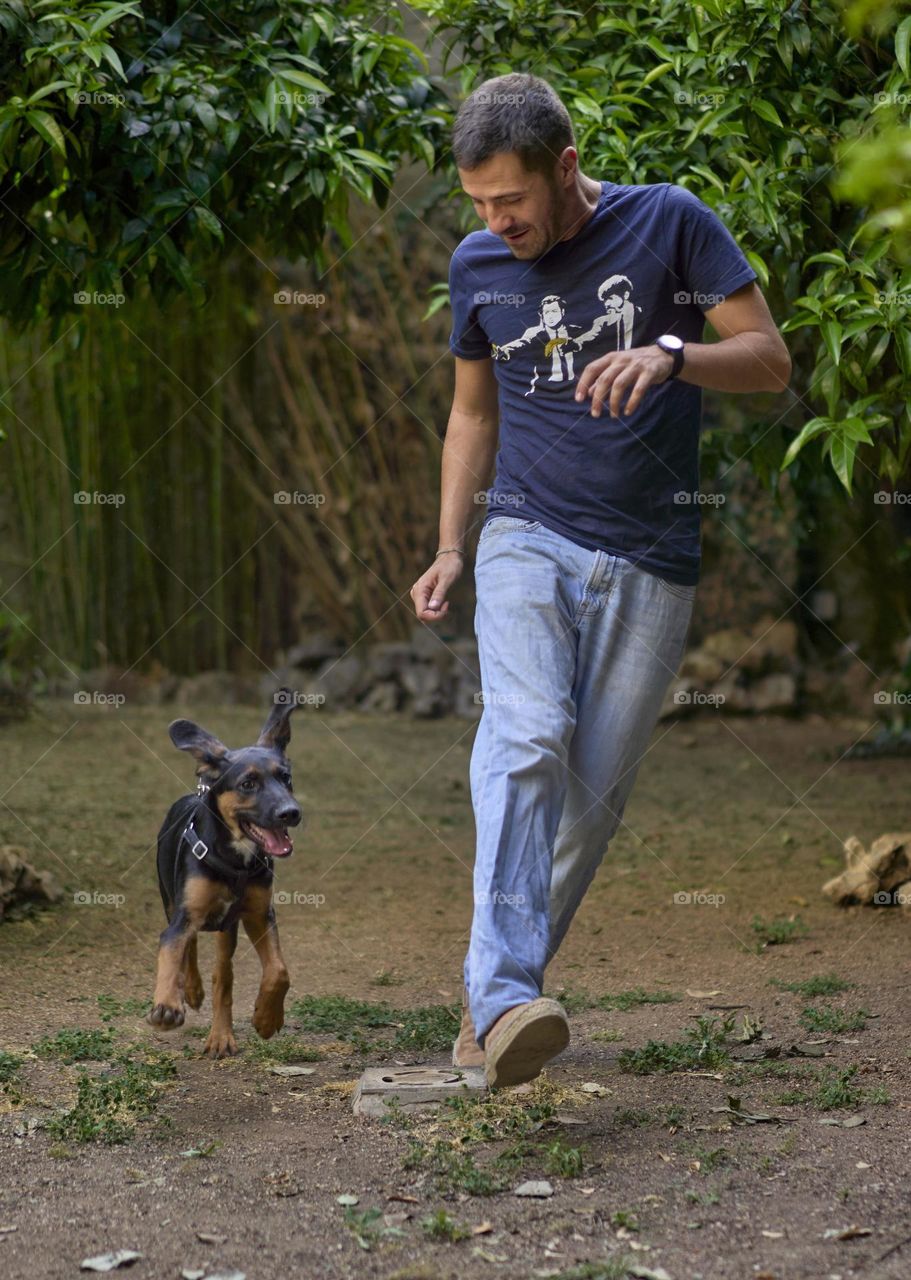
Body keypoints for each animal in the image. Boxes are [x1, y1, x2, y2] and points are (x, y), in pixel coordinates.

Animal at [149, 691, 301, 1059]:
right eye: (248, 783)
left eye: (286, 778)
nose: (292, 813)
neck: (237, 858)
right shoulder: (184, 913)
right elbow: (172, 949)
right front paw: (167, 1005)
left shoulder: (259, 914)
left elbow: (279, 970)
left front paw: (267, 1018)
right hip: (171, 899)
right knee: (188, 947)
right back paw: (191, 991)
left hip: (226, 929)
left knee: (223, 975)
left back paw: (221, 1035)